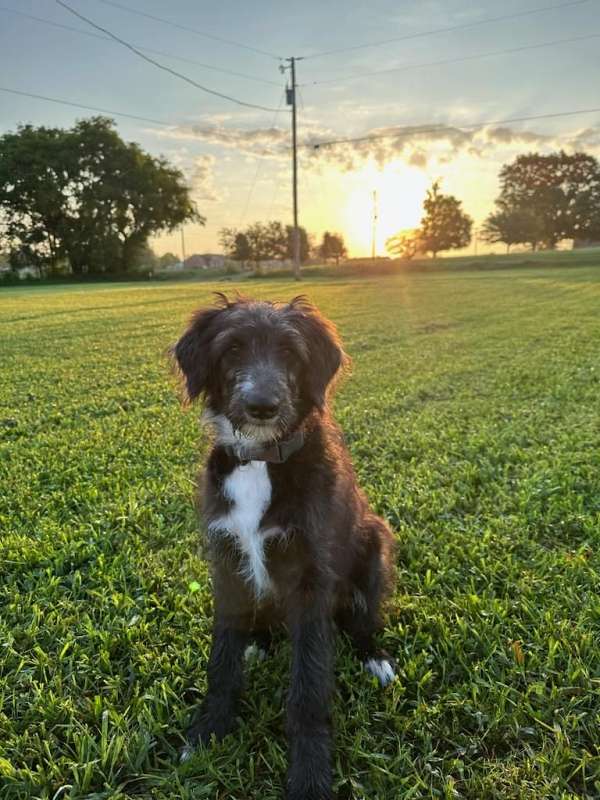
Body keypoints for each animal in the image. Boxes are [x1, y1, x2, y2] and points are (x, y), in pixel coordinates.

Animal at [173, 296, 396, 800]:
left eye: (291, 353)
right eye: (233, 349)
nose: (262, 406)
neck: (260, 461)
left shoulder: (311, 580)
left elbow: (308, 687)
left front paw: (309, 775)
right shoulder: (226, 560)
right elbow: (222, 659)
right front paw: (208, 731)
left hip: (374, 545)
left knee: (362, 619)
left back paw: (374, 656)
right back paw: (259, 642)